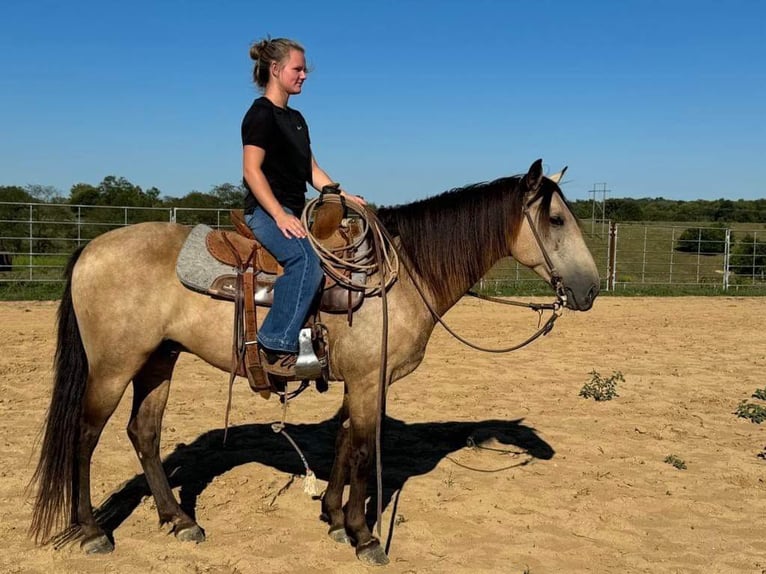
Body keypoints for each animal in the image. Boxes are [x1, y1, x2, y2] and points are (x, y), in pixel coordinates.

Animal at [29, 159, 599, 565]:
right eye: (555, 219)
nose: (590, 288)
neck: (402, 274)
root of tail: (91, 249)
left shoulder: (362, 380)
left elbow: (346, 440)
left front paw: (334, 518)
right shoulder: (370, 380)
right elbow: (365, 446)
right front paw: (365, 536)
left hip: (158, 360)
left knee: (144, 432)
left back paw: (179, 520)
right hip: (114, 366)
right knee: (85, 435)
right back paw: (91, 531)